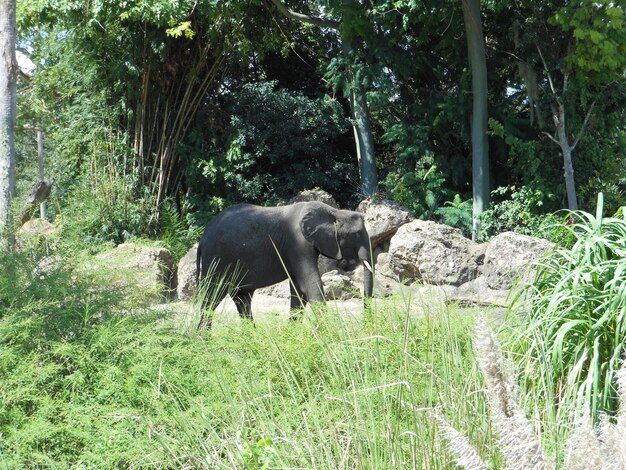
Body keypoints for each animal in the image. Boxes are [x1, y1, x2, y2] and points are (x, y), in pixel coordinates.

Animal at [195, 201, 370, 326]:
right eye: (356, 234)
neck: (334, 211)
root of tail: (202, 240)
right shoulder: (298, 243)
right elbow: (311, 285)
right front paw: (331, 335)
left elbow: (299, 289)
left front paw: (292, 333)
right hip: (217, 259)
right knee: (213, 295)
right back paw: (203, 340)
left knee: (241, 299)